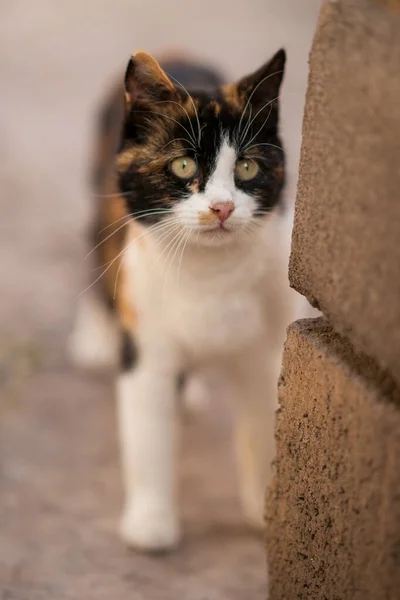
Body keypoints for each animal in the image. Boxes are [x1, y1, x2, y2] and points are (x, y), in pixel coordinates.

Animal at [70, 49, 308, 552]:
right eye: (182, 167)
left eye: (247, 168)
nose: (222, 207)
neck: (210, 275)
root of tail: (179, 53)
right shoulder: (146, 344)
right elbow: (148, 434)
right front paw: (151, 523)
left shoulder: (264, 354)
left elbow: (261, 429)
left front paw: (262, 509)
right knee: (95, 250)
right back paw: (95, 337)